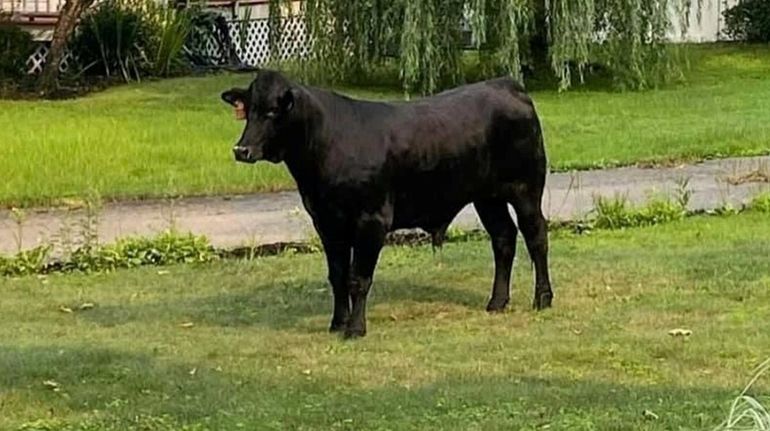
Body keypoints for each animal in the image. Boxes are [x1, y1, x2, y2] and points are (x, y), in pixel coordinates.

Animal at [220, 71, 552, 340]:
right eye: (249, 110)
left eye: (272, 111)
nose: (241, 149)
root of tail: (505, 84)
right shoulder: (326, 222)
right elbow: (337, 276)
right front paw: (337, 324)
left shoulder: (371, 220)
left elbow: (358, 278)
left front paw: (355, 328)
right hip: (487, 197)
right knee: (503, 238)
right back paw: (497, 302)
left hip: (526, 188)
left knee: (536, 236)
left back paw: (542, 299)